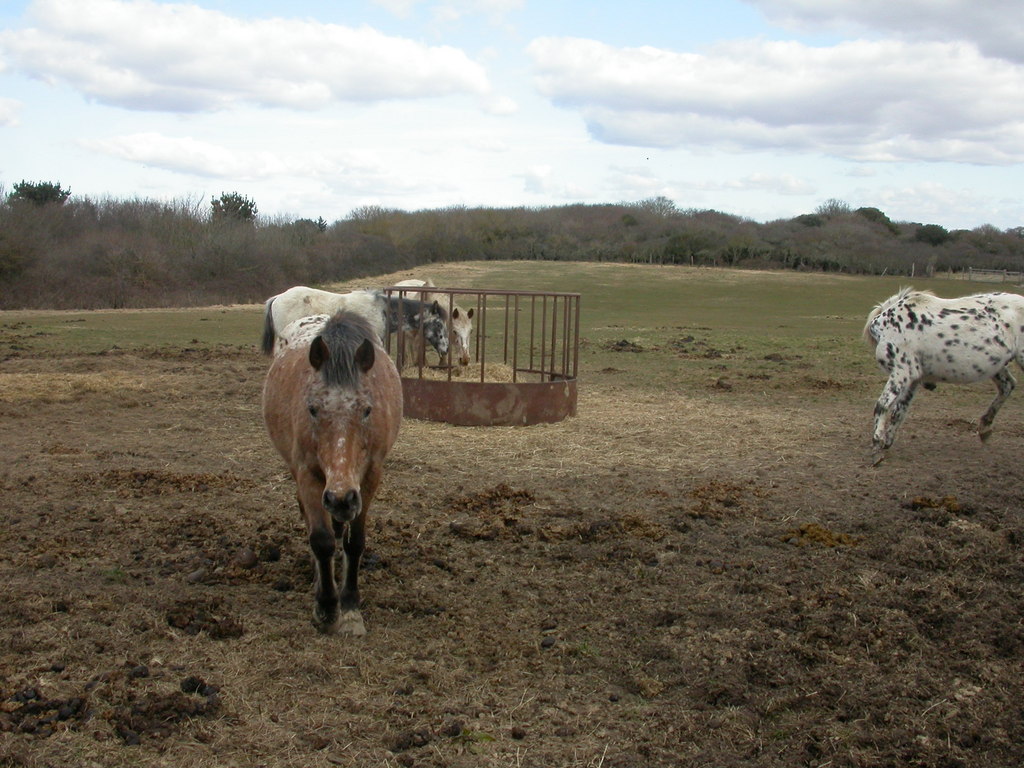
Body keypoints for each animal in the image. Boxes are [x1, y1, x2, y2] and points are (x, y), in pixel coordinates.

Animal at [262, 311, 403, 635]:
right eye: (312, 409)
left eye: (367, 410)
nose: (341, 498)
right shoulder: (309, 475)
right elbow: (322, 540)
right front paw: (326, 608)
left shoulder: (369, 478)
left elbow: (354, 542)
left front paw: (350, 608)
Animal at [863, 287, 1024, 463]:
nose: (931, 385)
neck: (889, 326)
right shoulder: (913, 379)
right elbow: (899, 412)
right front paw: (886, 442)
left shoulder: (902, 371)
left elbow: (882, 405)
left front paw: (877, 447)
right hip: (997, 366)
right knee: (1007, 386)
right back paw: (985, 428)